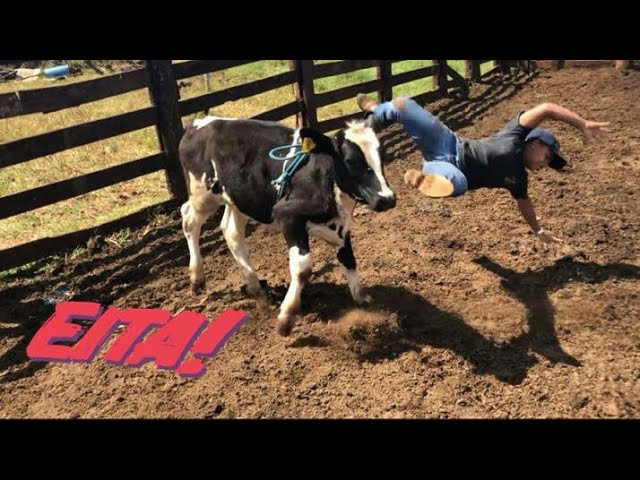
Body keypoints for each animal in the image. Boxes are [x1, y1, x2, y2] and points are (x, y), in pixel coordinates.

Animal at [176, 116, 396, 334]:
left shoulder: (341, 227)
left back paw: (254, 285)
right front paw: (286, 317)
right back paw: (197, 278)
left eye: (381, 155)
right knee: (189, 220)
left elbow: (349, 259)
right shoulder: (286, 215)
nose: (387, 199)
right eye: (350, 161)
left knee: (231, 232)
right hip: (203, 195)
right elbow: (303, 268)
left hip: (240, 199)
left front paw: (362, 298)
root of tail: (198, 123)